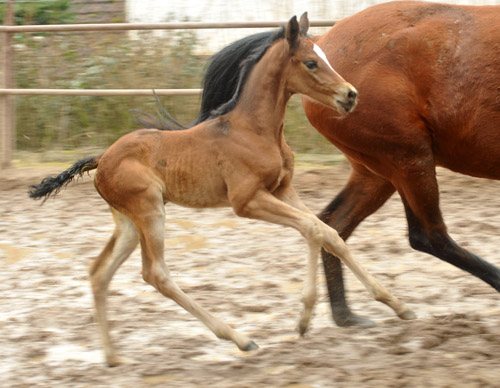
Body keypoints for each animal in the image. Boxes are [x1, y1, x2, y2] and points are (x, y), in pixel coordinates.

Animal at [30, 14, 414, 366]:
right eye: (311, 62)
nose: (350, 95)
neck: (253, 129)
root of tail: (102, 158)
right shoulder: (247, 201)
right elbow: (315, 229)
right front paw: (309, 316)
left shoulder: (283, 190)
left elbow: (324, 231)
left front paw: (392, 305)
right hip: (149, 210)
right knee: (155, 273)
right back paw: (240, 339)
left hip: (127, 222)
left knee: (99, 272)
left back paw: (112, 358)